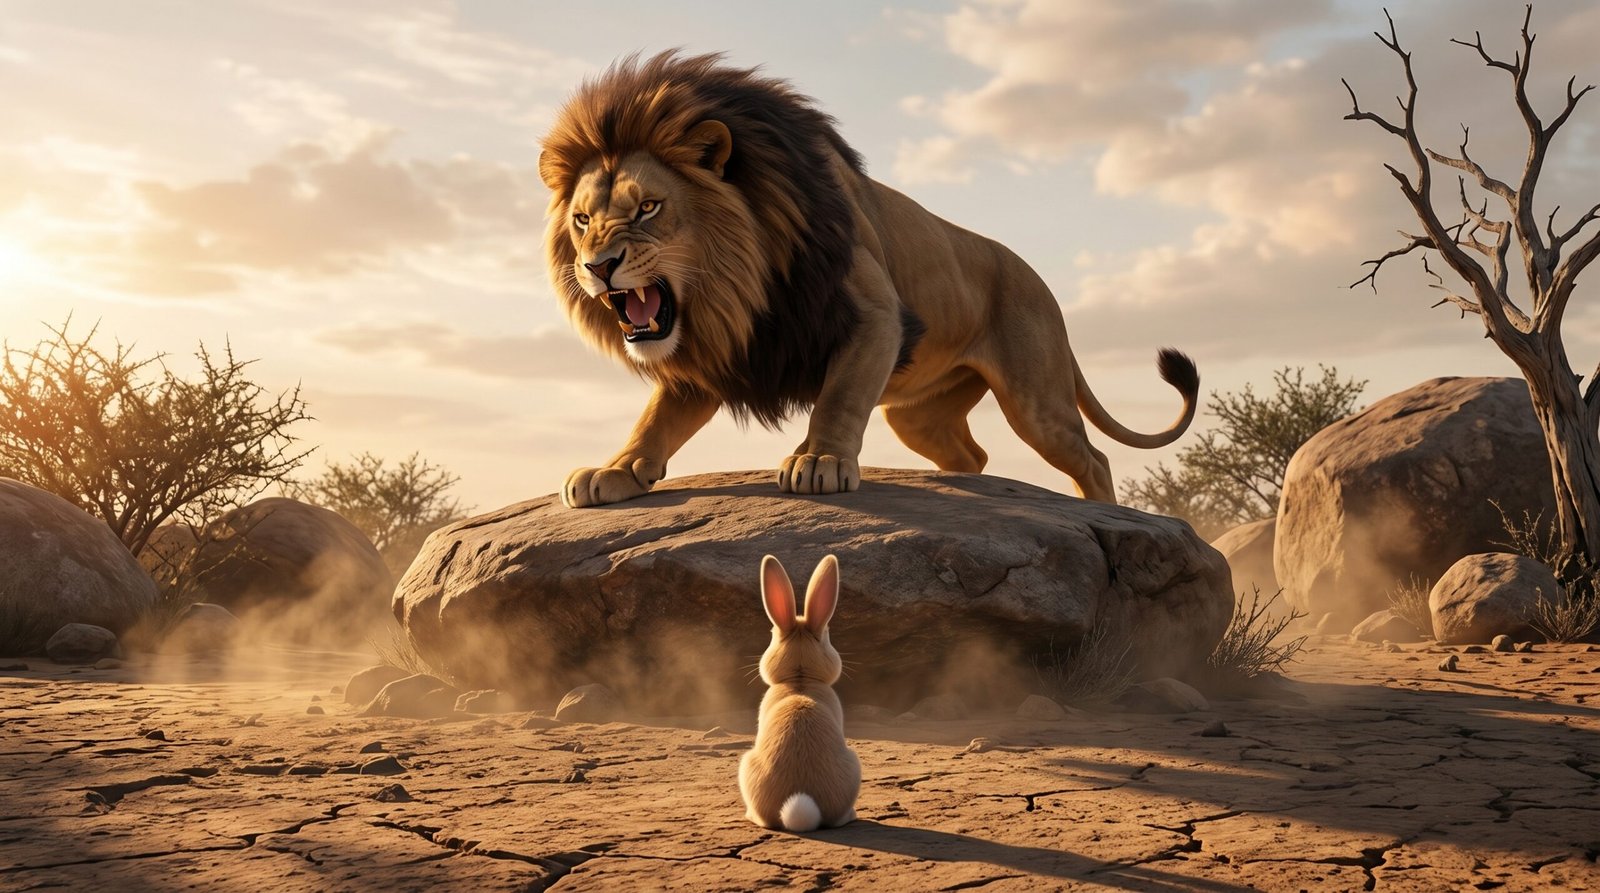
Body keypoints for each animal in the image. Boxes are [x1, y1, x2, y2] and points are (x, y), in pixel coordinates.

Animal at [539, 52, 1198, 508]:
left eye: (648, 208)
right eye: (582, 220)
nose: (597, 267)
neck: (736, 289)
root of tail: (1040, 281)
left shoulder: (874, 316)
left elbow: (840, 397)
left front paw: (818, 461)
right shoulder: (717, 353)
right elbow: (654, 420)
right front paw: (616, 470)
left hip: (1037, 401)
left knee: (1093, 458)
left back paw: (1113, 516)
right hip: (918, 416)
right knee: (974, 452)